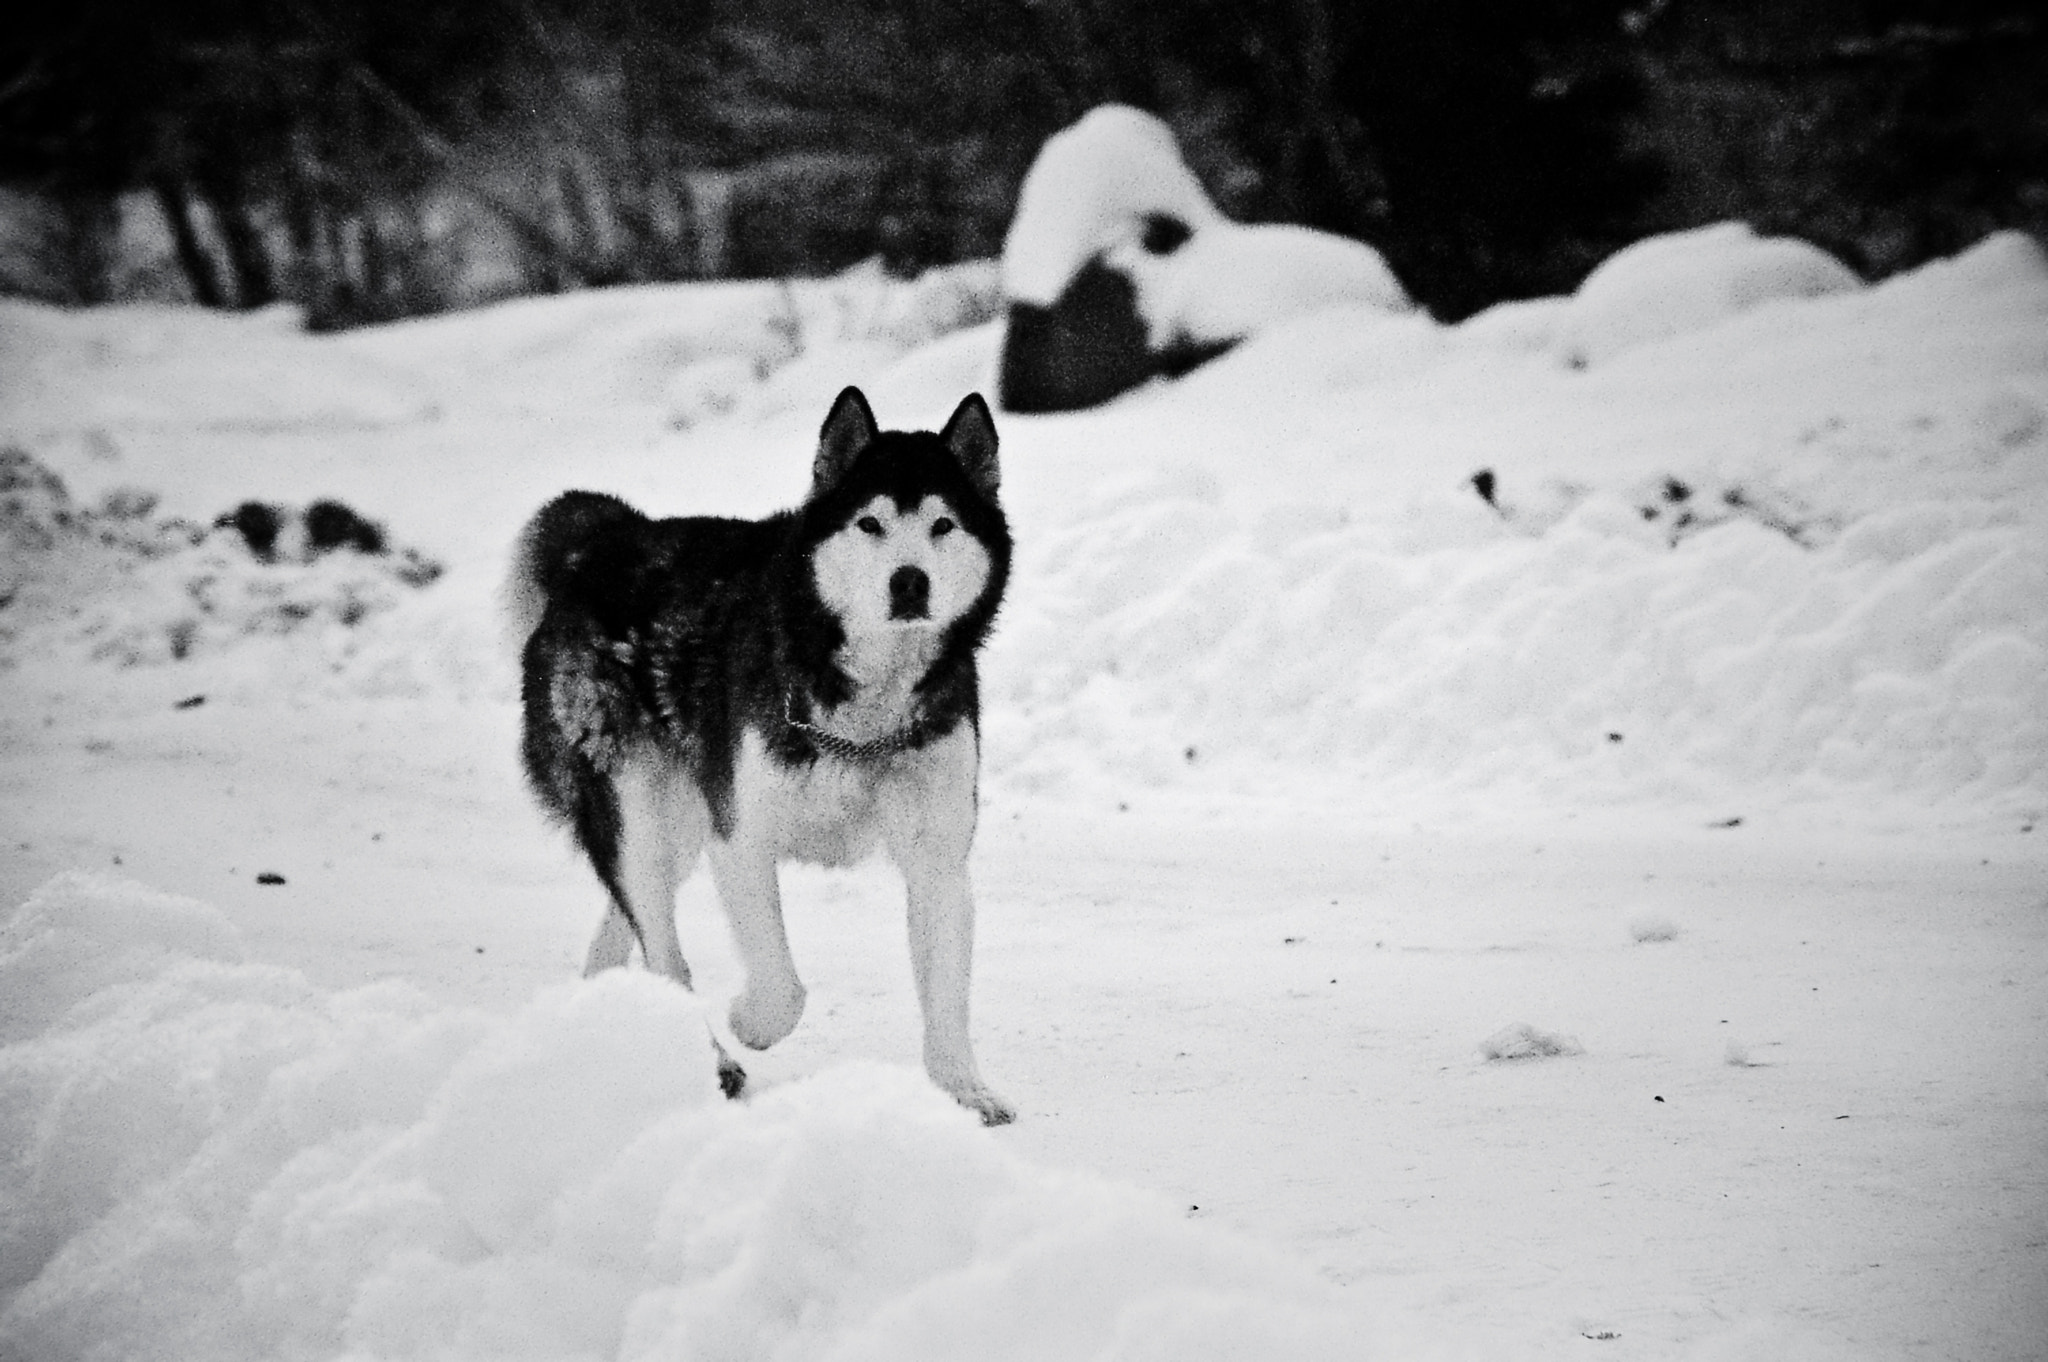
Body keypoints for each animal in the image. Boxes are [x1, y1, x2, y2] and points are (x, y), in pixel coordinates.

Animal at [505, 385, 1015, 1122]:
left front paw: (963, 1090)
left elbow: (946, 995)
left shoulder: (939, 858)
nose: (909, 582)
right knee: (664, 949)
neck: (864, 707)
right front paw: (750, 1023)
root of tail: (607, 541)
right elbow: (782, 986)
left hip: (676, 825)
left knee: (626, 926)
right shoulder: (740, 837)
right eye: (870, 524)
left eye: (943, 525)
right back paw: (709, 1060)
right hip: (638, 811)